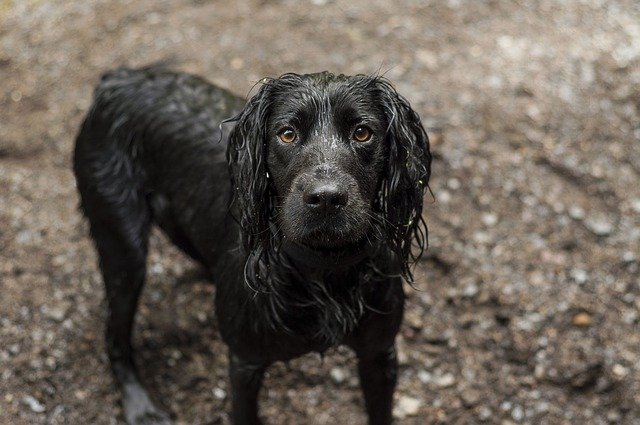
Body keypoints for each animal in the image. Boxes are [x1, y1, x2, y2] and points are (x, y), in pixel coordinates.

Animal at [74, 64, 430, 422]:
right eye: (287, 134)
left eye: (362, 133)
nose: (327, 199)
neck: (323, 271)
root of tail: (119, 78)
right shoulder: (245, 364)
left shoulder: (379, 354)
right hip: (123, 246)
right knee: (115, 338)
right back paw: (140, 406)